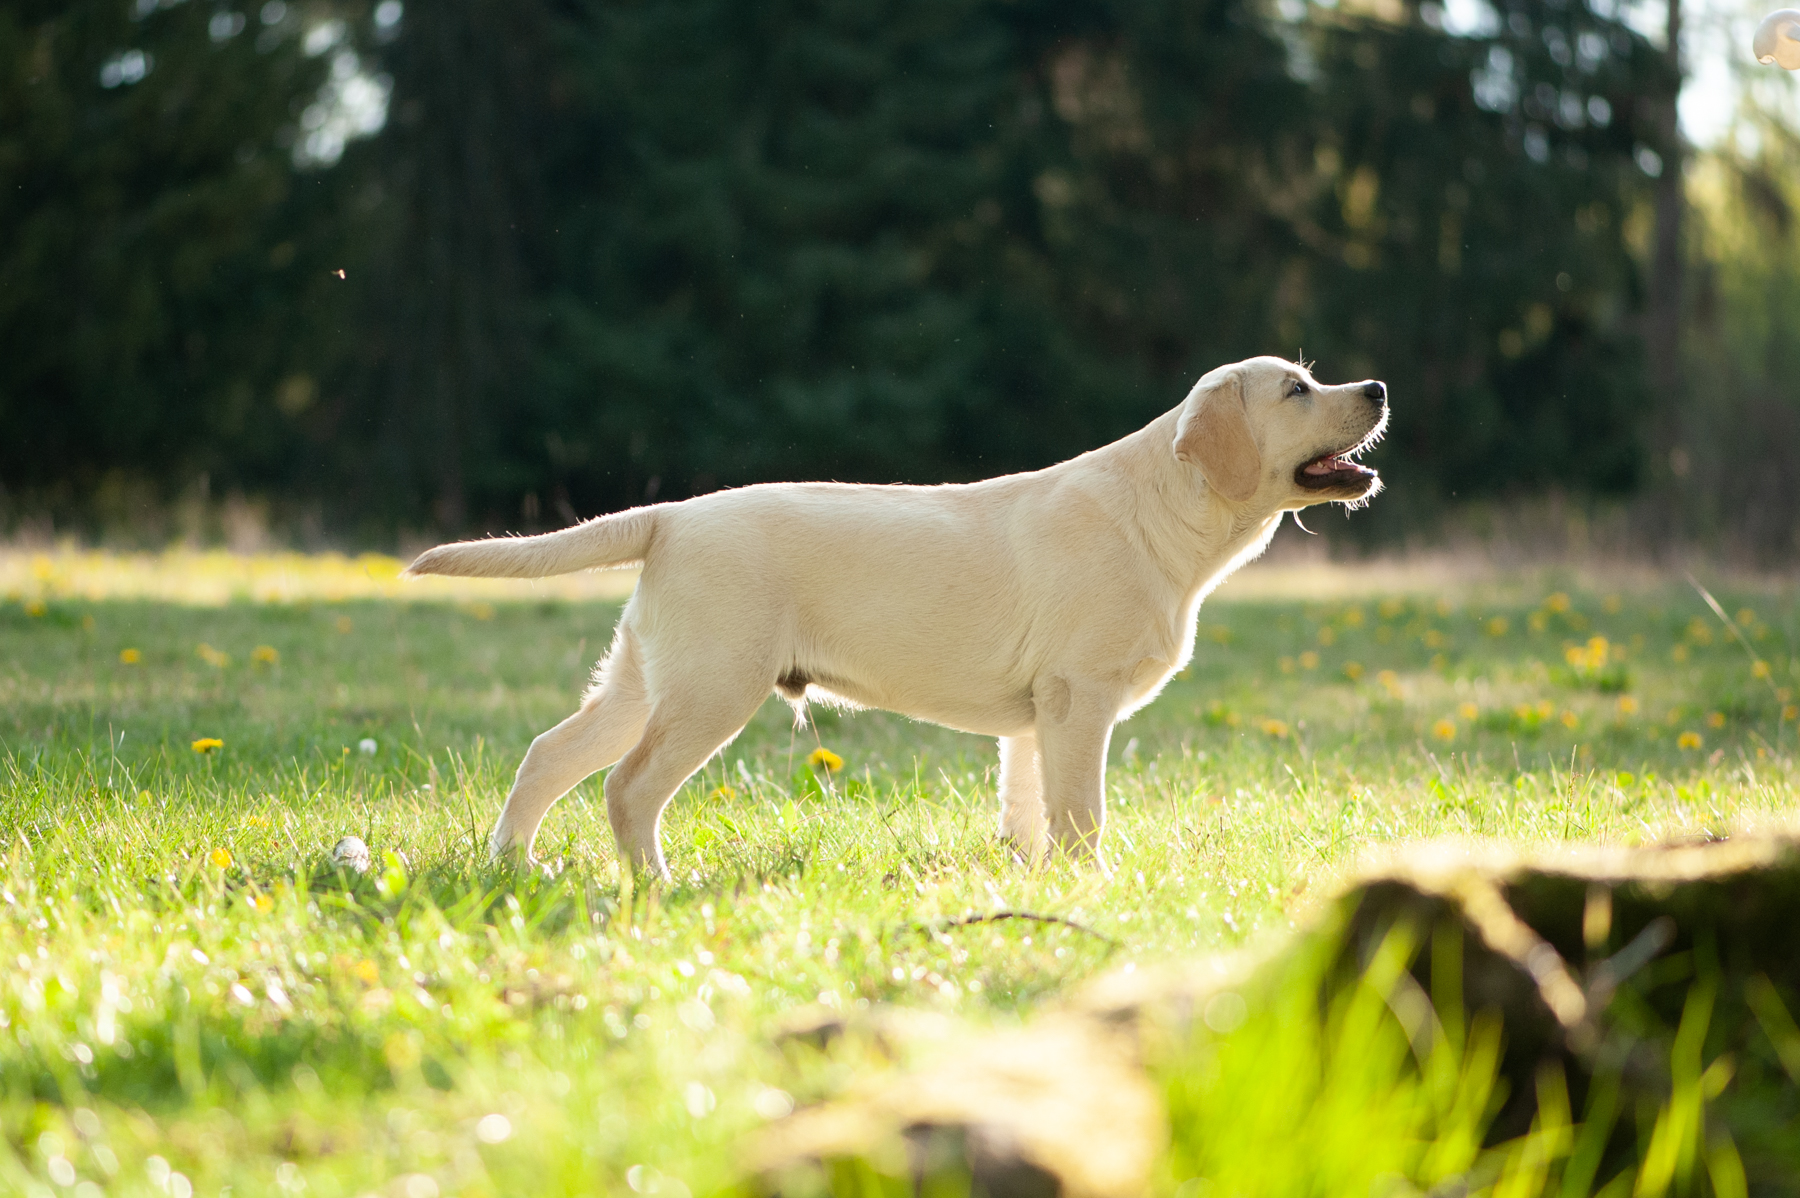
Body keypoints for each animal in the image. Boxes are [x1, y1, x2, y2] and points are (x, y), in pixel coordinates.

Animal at [406, 355, 1387, 878]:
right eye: (1297, 390)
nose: (1377, 386)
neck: (1162, 511)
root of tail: (672, 515)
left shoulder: (1037, 718)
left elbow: (1029, 809)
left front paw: (1038, 883)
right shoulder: (1080, 699)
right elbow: (1082, 812)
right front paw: (1095, 885)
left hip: (644, 679)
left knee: (549, 755)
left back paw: (512, 865)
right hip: (713, 687)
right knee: (628, 786)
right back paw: (656, 883)